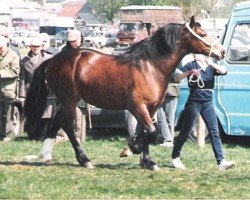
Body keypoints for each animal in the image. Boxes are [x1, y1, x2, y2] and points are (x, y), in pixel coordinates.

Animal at [24, 16, 225, 171]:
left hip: (67, 100)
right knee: (66, 125)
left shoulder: (151, 108)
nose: (222, 52)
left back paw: (46, 156)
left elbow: (146, 131)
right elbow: (152, 132)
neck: (150, 67)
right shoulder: (137, 106)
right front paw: (131, 149)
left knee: (57, 122)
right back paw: (84, 160)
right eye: (202, 34)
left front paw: (148, 161)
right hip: (69, 100)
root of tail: (53, 60)